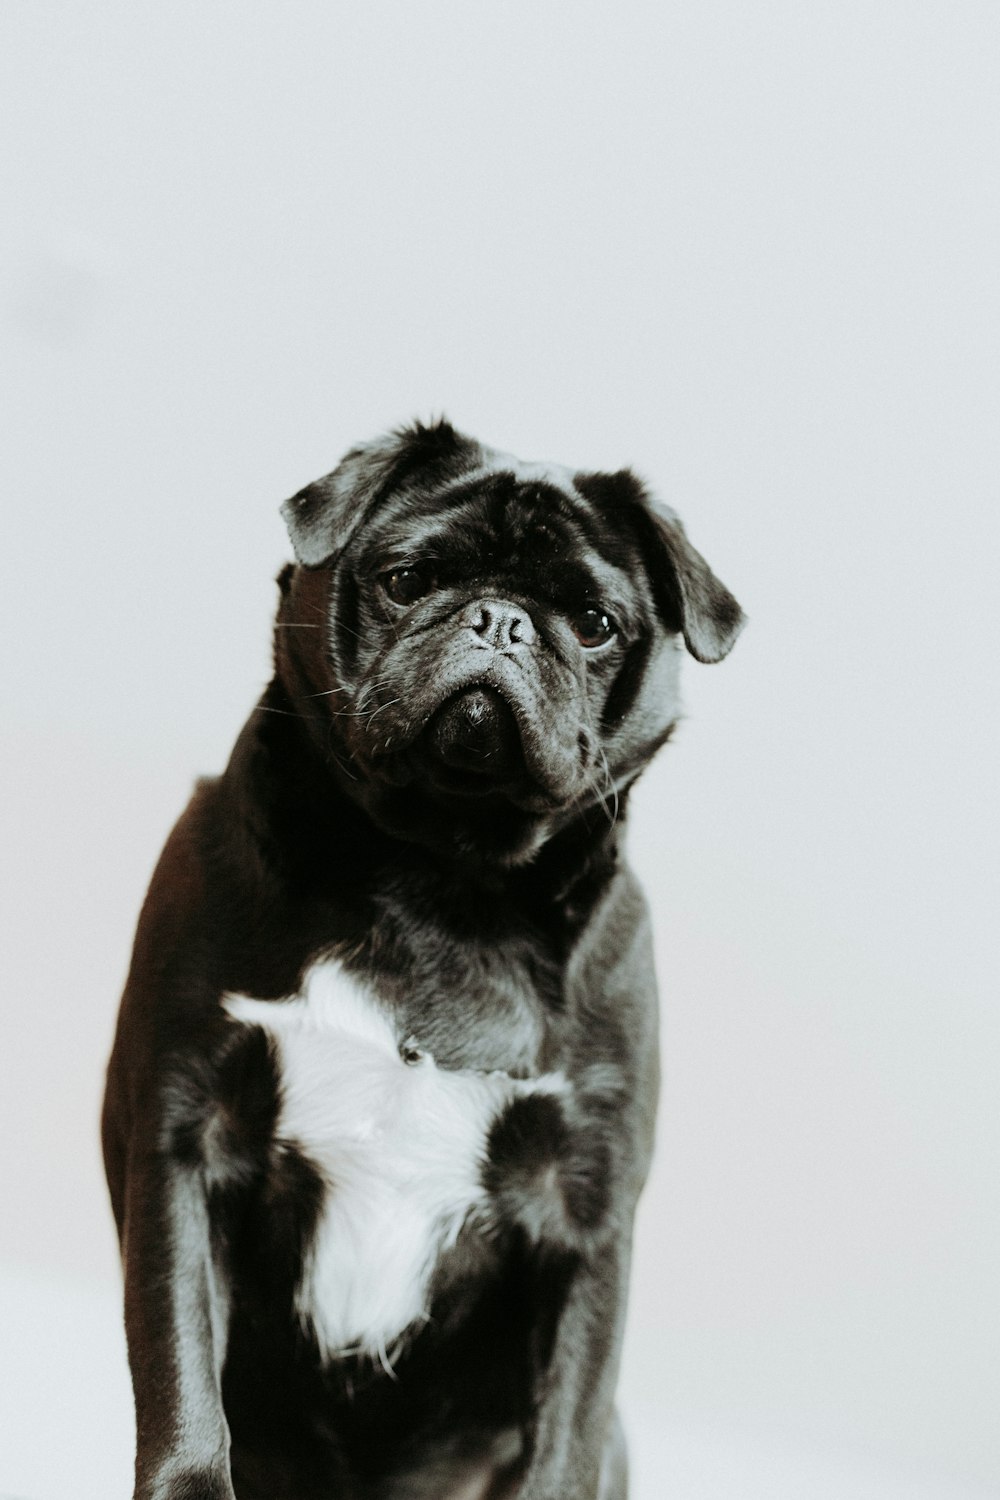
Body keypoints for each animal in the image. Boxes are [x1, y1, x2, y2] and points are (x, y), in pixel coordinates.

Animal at [103, 414, 743, 1500]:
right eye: (408, 578)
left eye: (594, 622)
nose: (500, 621)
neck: (441, 875)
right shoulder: (187, 1140)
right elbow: (184, 1379)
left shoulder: (584, 1215)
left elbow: (564, 1428)